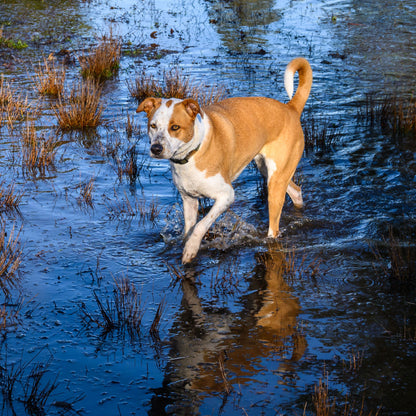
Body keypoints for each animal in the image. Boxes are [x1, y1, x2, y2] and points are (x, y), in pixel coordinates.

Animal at [136, 57, 312, 264]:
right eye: (153, 126)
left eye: (175, 127)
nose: (156, 149)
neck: (192, 154)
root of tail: (290, 108)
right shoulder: (189, 200)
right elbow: (189, 229)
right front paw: (186, 246)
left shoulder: (226, 195)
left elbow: (201, 225)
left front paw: (190, 250)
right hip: (269, 171)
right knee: (296, 191)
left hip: (275, 182)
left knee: (274, 227)